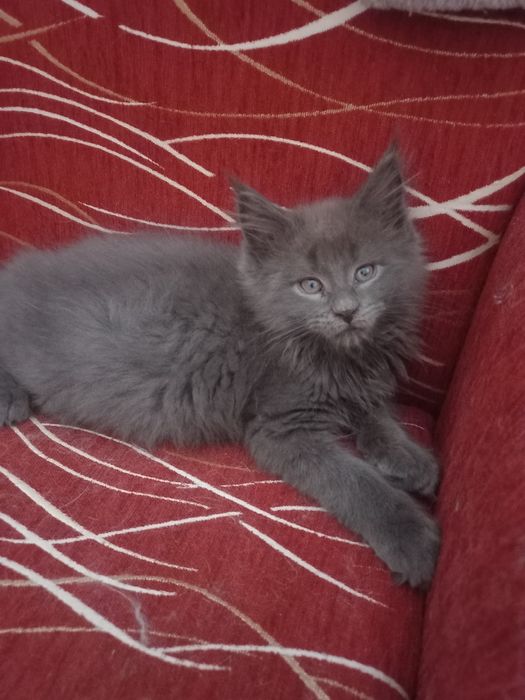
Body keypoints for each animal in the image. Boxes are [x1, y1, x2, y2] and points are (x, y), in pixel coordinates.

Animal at [0, 144, 440, 587]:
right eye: (311, 285)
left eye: (366, 272)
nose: (347, 311)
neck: (338, 358)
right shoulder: (282, 428)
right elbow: (355, 483)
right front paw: (412, 539)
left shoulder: (363, 385)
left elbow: (378, 416)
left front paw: (410, 460)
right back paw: (9, 399)